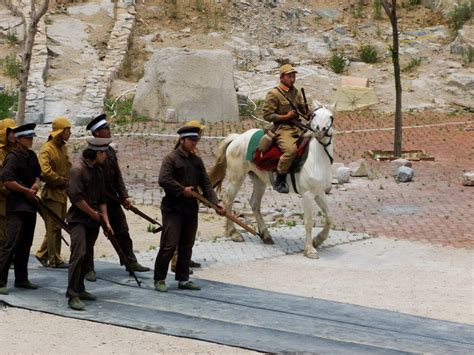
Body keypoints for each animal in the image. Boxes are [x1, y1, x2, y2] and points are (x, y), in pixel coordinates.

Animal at [209, 101, 336, 260]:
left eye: (331, 117)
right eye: (314, 115)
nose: (321, 130)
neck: (315, 157)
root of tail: (237, 137)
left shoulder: (319, 193)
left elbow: (329, 217)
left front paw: (318, 240)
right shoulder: (307, 195)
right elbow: (308, 222)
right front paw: (310, 250)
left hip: (259, 181)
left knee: (254, 203)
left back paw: (265, 235)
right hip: (236, 178)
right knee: (228, 201)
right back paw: (233, 233)